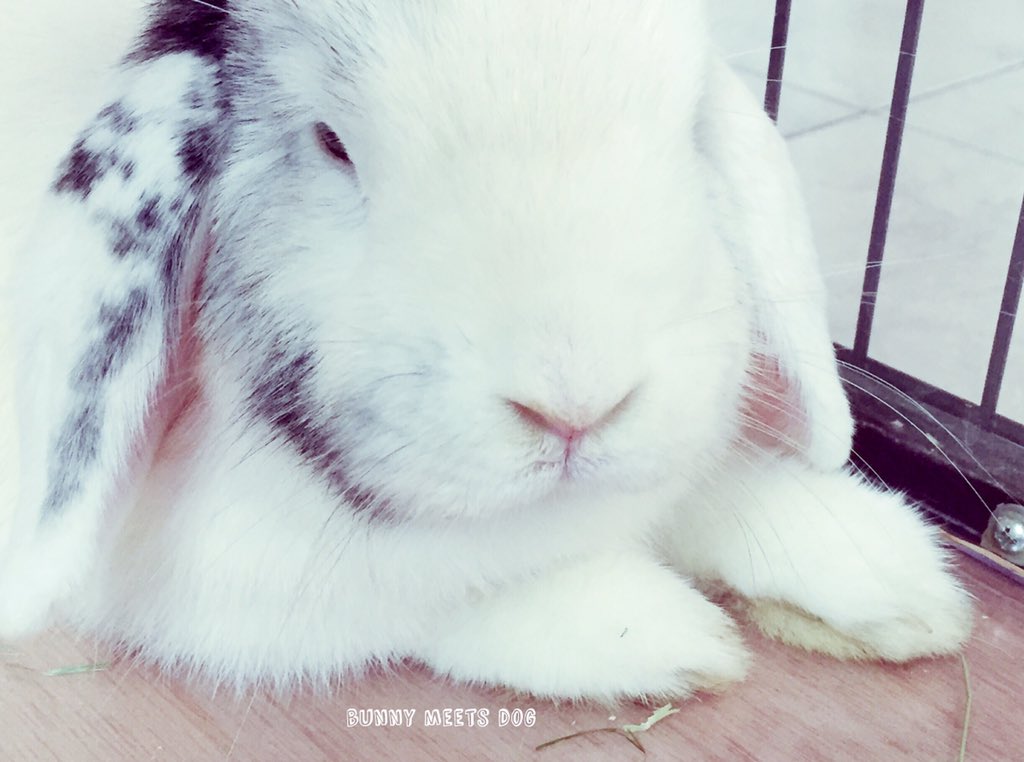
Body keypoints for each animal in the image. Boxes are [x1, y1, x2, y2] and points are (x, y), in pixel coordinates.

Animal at [0, 0, 972, 701]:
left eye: (690, 122)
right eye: (331, 143)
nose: (579, 407)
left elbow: (710, 484)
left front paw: (889, 575)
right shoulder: (239, 590)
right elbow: (416, 600)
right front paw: (665, 634)